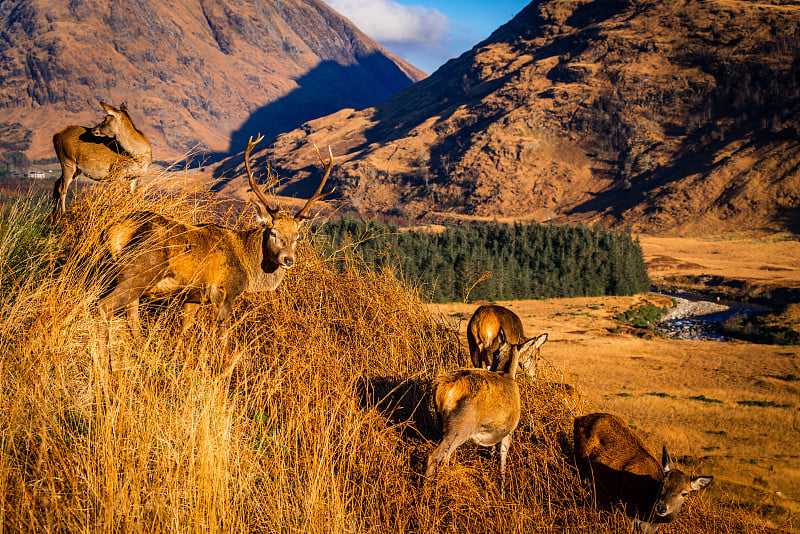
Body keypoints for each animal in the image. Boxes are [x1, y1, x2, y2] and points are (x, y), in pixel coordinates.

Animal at [97, 136, 334, 372]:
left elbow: (184, 331)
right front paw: (226, 370)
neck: (247, 265)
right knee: (104, 306)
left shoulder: (193, 296)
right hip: (141, 269)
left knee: (132, 317)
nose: (288, 259)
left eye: (297, 236)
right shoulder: (227, 292)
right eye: (273, 233)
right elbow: (224, 339)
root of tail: (116, 230)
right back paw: (106, 367)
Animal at [424, 328, 552, 500]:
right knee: (435, 457)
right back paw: (426, 495)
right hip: (460, 428)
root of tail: (443, 387)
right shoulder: (509, 431)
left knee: (446, 457)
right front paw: (503, 494)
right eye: (535, 356)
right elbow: (502, 463)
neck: (506, 373)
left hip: (443, 425)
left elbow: (492, 454)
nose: (534, 375)